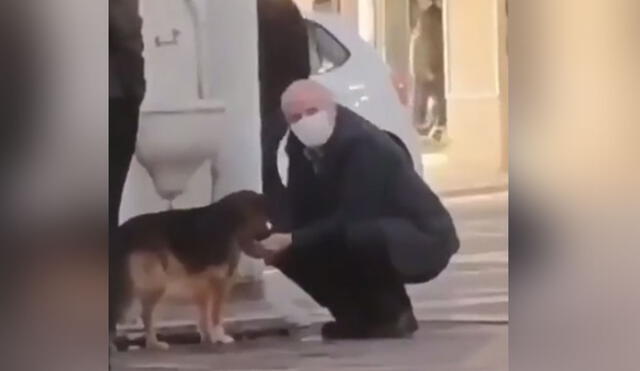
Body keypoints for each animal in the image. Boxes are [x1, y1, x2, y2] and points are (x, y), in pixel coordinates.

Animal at [110, 192, 270, 352]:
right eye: (263, 217)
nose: (269, 232)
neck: (230, 218)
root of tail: (122, 231)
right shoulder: (219, 283)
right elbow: (215, 315)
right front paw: (220, 337)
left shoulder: (204, 288)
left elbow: (205, 317)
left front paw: (208, 338)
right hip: (152, 285)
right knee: (141, 315)